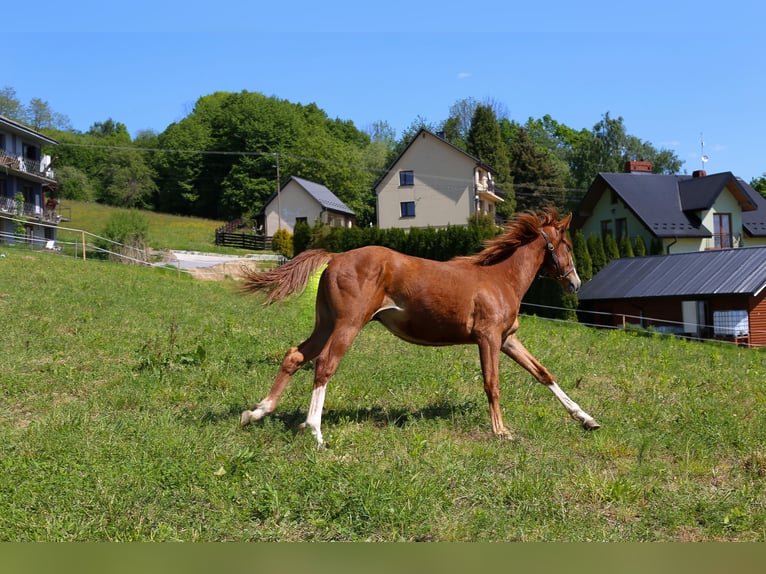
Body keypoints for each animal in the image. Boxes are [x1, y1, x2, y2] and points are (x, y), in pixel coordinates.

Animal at [240, 209, 600, 448]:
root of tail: (336, 256)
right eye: (568, 245)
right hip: (347, 324)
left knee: (295, 356)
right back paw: (314, 431)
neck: (501, 278)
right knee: (325, 365)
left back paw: (256, 412)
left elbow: (543, 373)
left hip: (326, 323)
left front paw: (586, 419)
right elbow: (492, 383)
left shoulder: (508, 339)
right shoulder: (487, 338)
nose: (575, 283)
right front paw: (501, 431)